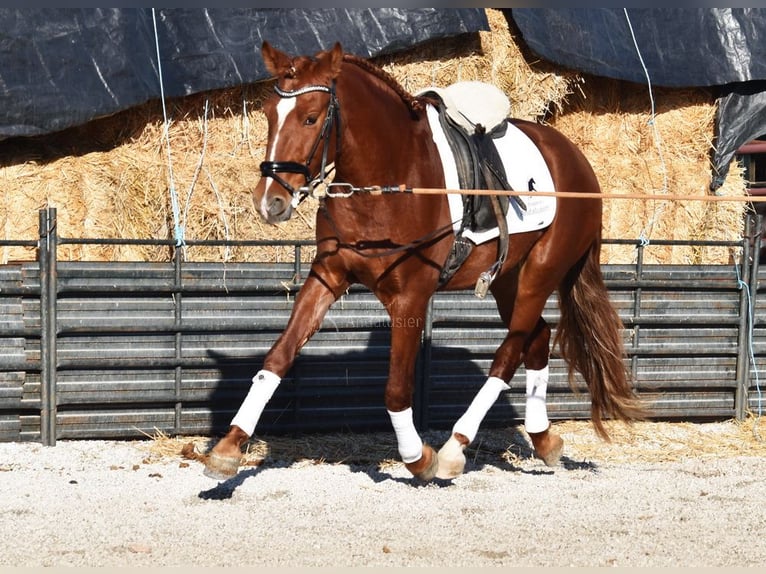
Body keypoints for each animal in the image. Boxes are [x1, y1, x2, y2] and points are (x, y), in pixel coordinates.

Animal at [201, 40, 644, 484]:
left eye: (311, 118)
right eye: (268, 115)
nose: (269, 202)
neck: (387, 180)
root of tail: (576, 159)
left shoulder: (411, 297)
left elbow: (397, 388)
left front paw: (417, 457)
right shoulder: (327, 275)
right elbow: (278, 356)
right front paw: (229, 446)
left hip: (540, 273)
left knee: (508, 355)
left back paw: (454, 448)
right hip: (507, 280)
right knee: (536, 340)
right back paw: (543, 438)